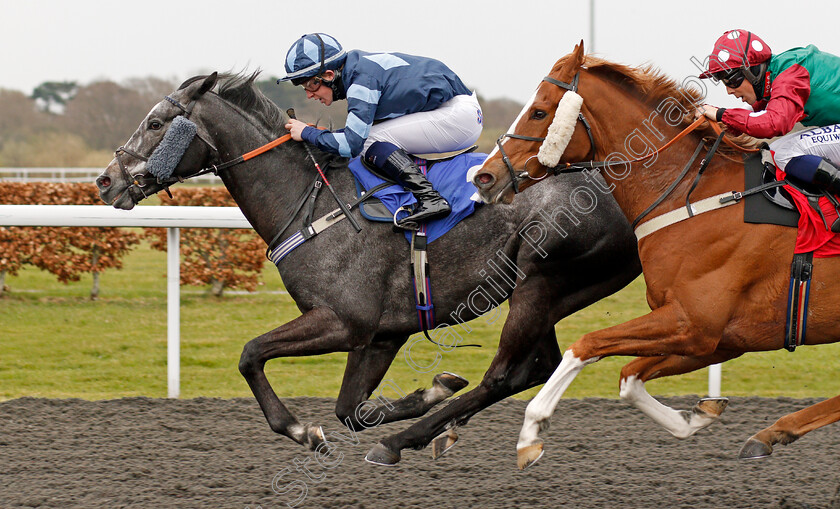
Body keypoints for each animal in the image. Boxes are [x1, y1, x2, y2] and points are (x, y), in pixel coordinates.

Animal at [95, 72, 640, 464]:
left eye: (156, 123)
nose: (105, 181)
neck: (311, 201)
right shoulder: (382, 334)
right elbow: (350, 410)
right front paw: (429, 391)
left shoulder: (344, 321)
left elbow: (251, 355)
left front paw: (303, 431)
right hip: (544, 292)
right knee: (536, 366)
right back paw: (434, 428)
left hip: (541, 282)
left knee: (506, 374)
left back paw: (404, 441)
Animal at [476, 42, 840, 468]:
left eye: (539, 111)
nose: (484, 177)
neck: (690, 194)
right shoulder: (719, 338)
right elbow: (628, 379)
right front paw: (698, 415)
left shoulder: (692, 323)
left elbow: (585, 345)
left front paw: (531, 431)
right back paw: (771, 433)